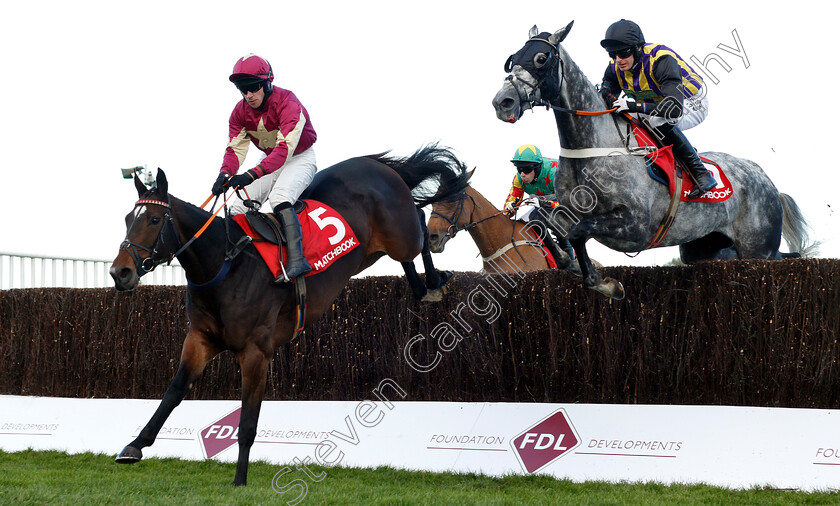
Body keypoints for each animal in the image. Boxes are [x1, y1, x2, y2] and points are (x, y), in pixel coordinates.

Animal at [108, 144, 470, 484]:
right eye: (127, 219)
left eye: (154, 220)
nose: (119, 272)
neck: (224, 266)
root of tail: (374, 164)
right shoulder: (200, 340)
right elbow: (174, 391)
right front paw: (135, 445)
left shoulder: (256, 352)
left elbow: (247, 420)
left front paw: (240, 480)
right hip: (375, 250)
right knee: (408, 254)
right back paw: (423, 288)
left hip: (401, 234)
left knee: (420, 224)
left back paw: (434, 281)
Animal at [492, 22, 812, 300]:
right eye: (512, 59)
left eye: (541, 58)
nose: (502, 102)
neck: (593, 149)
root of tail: (766, 180)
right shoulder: (567, 209)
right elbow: (553, 225)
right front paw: (581, 269)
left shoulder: (636, 228)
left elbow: (579, 230)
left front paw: (600, 280)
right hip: (704, 248)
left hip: (758, 249)